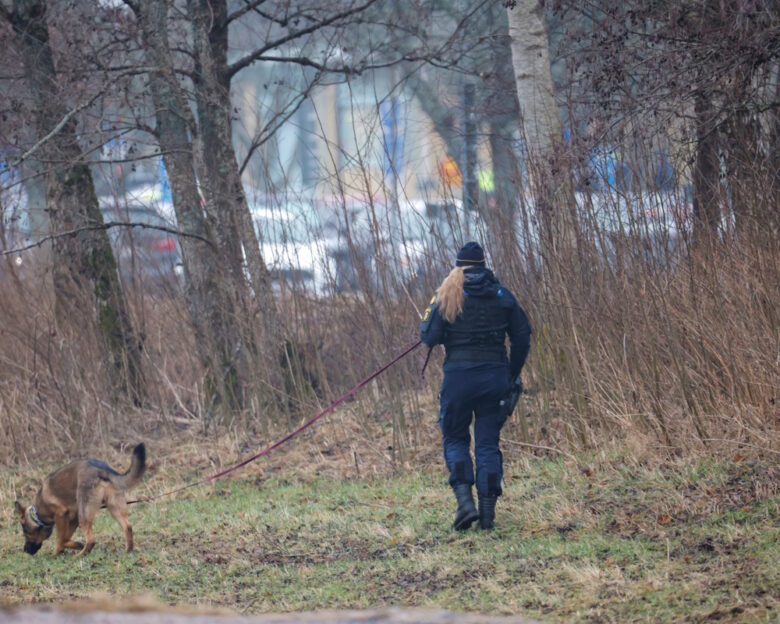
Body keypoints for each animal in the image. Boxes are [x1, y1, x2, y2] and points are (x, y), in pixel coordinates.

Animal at [14, 444, 147, 556]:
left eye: (25, 533)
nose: (25, 551)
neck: (37, 513)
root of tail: (102, 469)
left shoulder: (61, 516)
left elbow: (61, 539)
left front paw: (57, 552)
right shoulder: (73, 519)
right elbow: (65, 538)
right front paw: (75, 544)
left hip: (85, 514)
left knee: (92, 539)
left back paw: (80, 555)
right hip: (114, 508)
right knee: (127, 527)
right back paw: (128, 550)